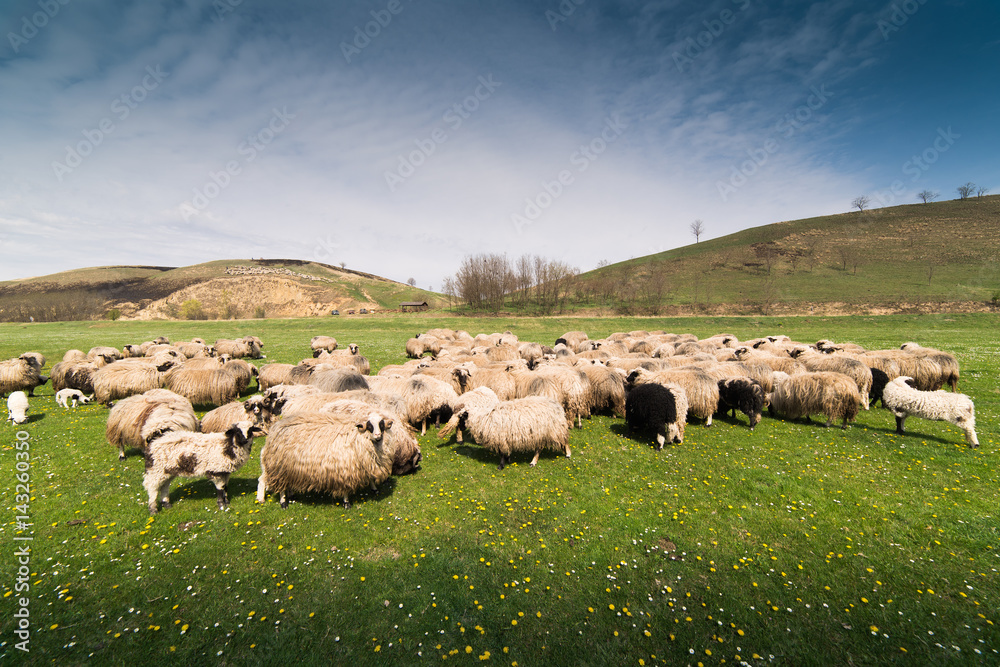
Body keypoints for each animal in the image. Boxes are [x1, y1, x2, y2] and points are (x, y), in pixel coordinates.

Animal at [255, 410, 399, 508]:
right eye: (369, 426)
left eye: (381, 424)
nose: (378, 435)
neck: (358, 435)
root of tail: (274, 429)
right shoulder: (344, 468)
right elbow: (345, 488)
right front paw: (346, 503)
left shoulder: (365, 461)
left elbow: (370, 478)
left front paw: (375, 490)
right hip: (278, 466)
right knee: (278, 486)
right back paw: (282, 502)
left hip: (289, 467)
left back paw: (290, 494)